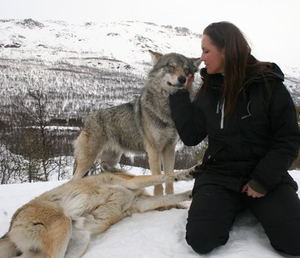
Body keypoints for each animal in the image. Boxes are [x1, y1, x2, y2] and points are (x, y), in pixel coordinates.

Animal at [0, 166, 197, 256]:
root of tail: (9, 230)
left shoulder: (140, 203)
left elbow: (173, 197)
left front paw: (190, 193)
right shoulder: (131, 182)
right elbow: (164, 176)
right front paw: (189, 172)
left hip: (79, 244)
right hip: (63, 226)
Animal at [72, 50, 202, 195]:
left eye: (187, 70)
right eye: (171, 66)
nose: (182, 79)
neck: (167, 110)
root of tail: (88, 118)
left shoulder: (169, 148)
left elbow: (169, 181)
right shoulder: (153, 150)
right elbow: (158, 180)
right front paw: (159, 197)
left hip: (110, 161)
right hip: (87, 161)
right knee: (73, 179)